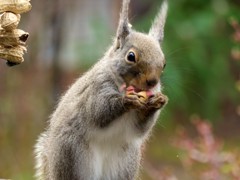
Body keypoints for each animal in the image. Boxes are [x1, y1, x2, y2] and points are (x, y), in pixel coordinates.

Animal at [34, 0, 169, 179]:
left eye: (164, 63)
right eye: (131, 56)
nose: (152, 82)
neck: (123, 85)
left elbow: (141, 128)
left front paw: (158, 101)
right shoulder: (96, 88)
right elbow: (99, 112)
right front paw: (126, 101)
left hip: (124, 163)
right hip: (74, 157)